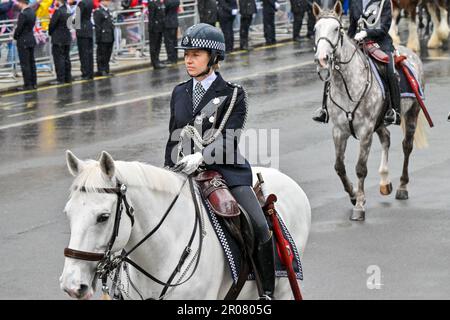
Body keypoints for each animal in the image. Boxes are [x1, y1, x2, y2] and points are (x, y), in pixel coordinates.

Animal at [312, 0, 428, 220]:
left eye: (336, 29)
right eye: (315, 29)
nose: (322, 58)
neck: (348, 84)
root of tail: (409, 52)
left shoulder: (365, 131)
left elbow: (360, 168)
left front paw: (359, 206)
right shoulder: (339, 131)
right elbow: (339, 166)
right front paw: (353, 195)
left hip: (412, 113)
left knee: (406, 146)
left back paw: (402, 187)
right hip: (380, 122)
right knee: (386, 138)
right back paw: (384, 182)